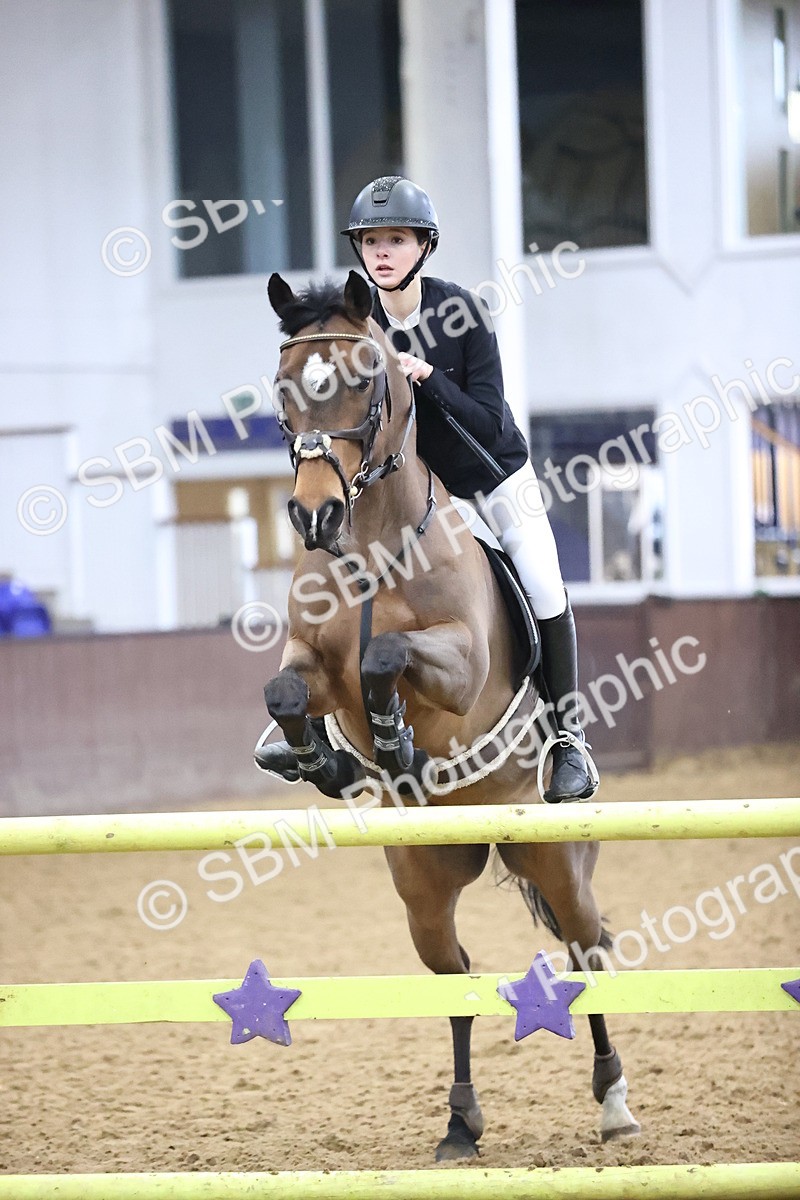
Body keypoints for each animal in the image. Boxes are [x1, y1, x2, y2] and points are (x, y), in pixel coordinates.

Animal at [262, 269, 640, 1160]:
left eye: (366, 385)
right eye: (282, 389)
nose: (314, 517)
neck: (369, 549)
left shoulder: (460, 666)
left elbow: (387, 659)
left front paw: (396, 739)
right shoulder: (309, 663)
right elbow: (288, 694)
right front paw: (328, 761)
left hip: (559, 860)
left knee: (587, 950)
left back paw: (613, 1098)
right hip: (424, 882)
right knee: (456, 975)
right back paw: (461, 1124)